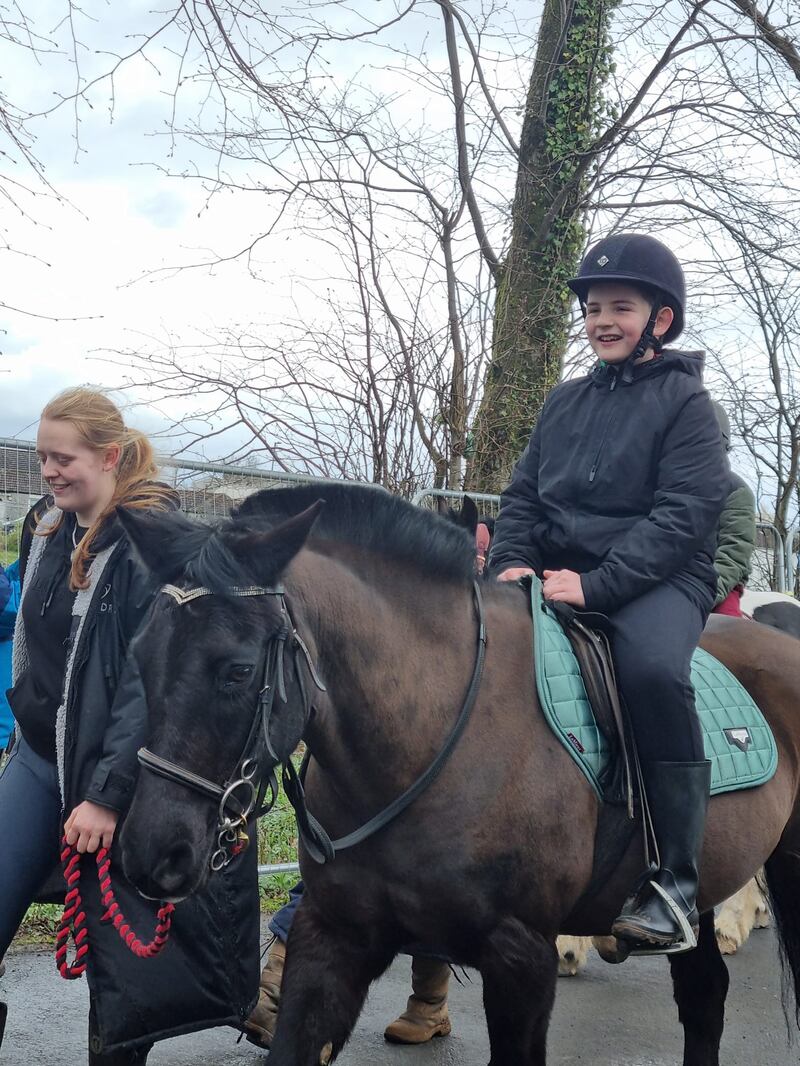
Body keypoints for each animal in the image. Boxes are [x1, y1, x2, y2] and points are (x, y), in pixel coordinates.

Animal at [115, 486, 800, 1066]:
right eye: (139, 656)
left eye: (235, 671)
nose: (153, 855)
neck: (426, 739)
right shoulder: (332, 935)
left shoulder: (520, 958)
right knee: (705, 996)